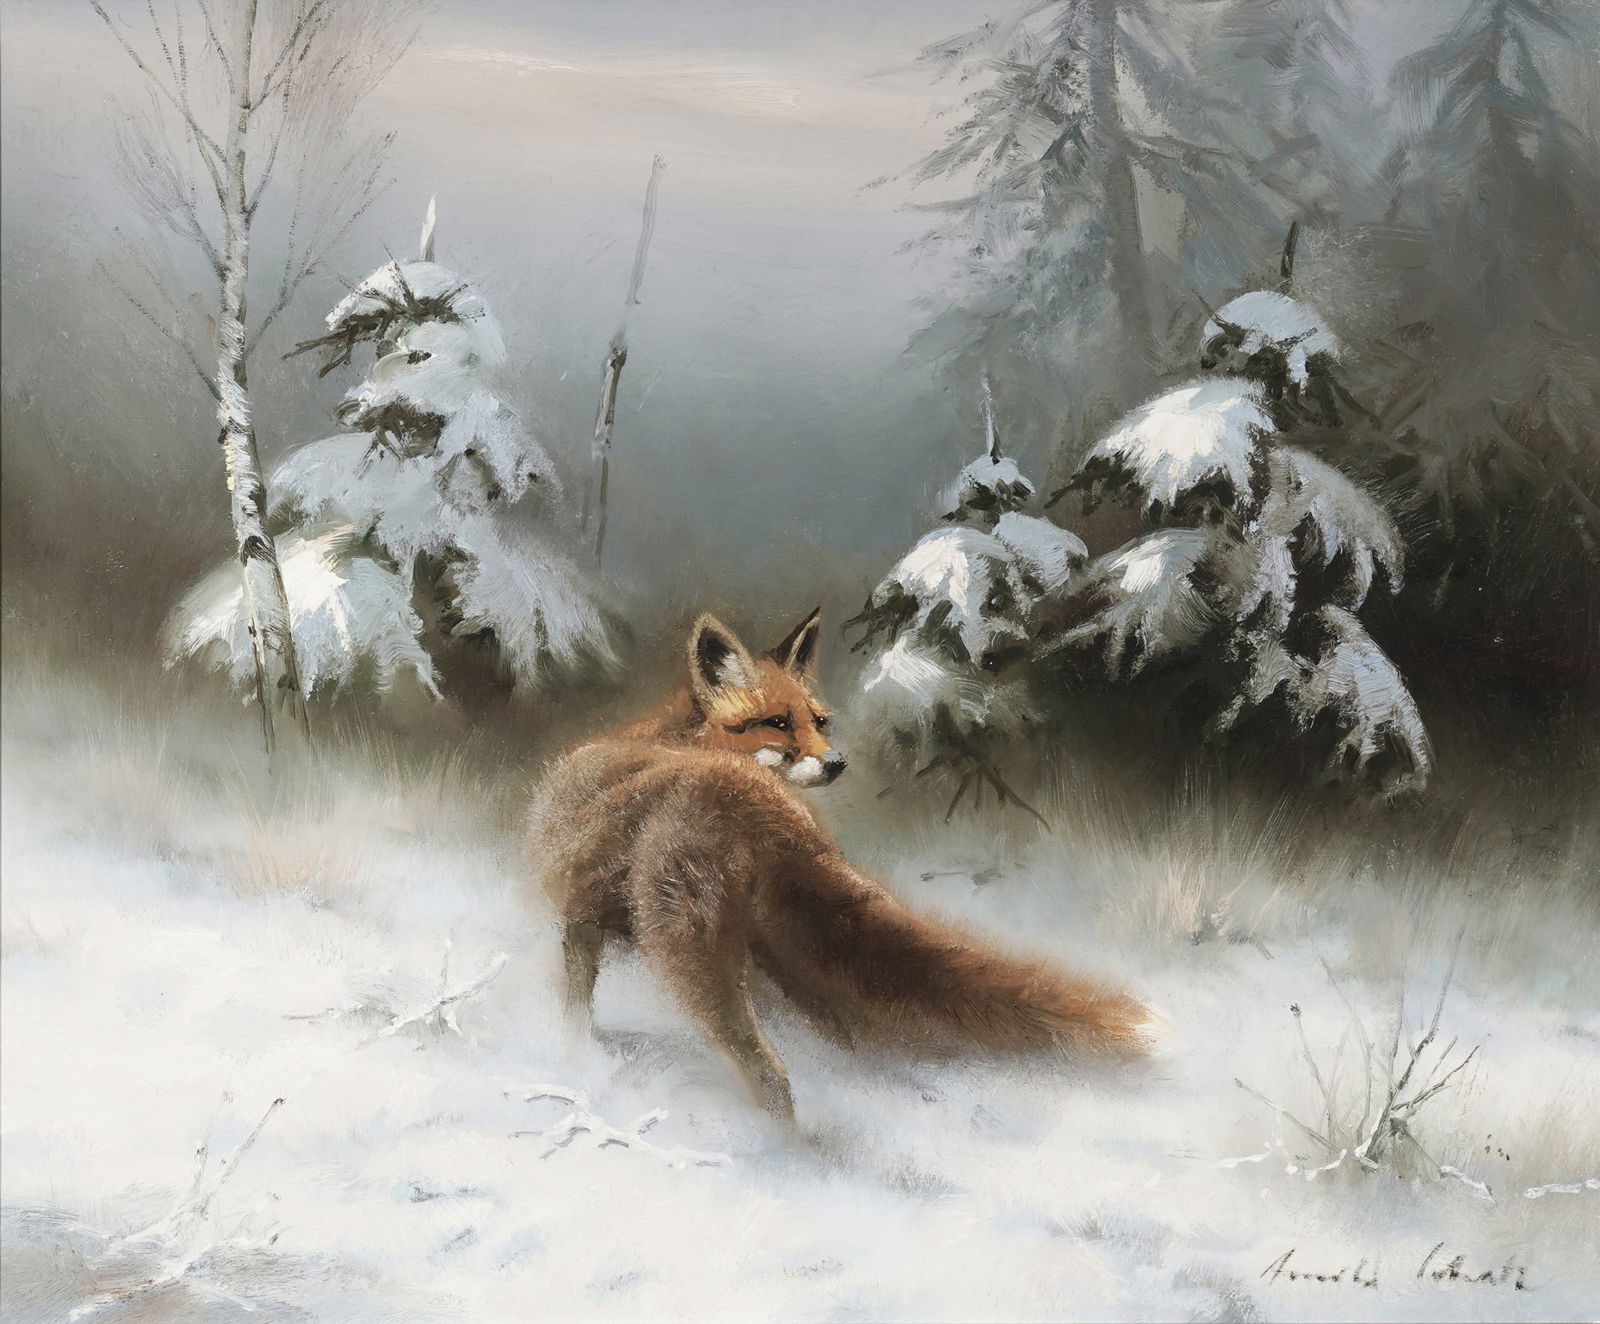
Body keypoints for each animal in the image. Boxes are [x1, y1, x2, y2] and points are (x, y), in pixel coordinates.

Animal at [523, 609, 1151, 1121]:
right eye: (777, 722)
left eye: (818, 721)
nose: (837, 763)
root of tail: (750, 801)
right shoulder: (583, 919)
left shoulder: (577, 919)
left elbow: (573, 1008)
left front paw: (571, 1055)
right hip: (774, 946)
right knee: (835, 1037)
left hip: (691, 948)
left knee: (771, 1074)